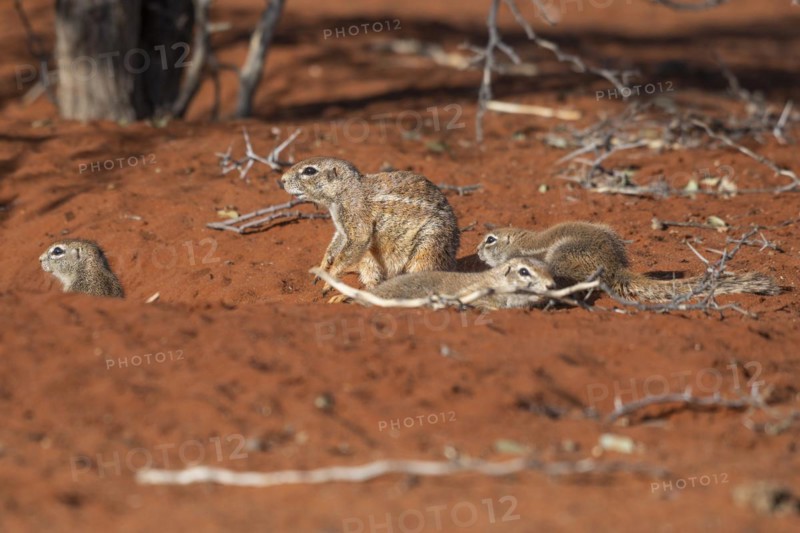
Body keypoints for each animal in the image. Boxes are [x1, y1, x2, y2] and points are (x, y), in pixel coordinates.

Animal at [280, 157, 460, 293]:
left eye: (309, 171)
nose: (281, 180)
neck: (347, 190)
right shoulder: (342, 229)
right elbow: (335, 246)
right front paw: (323, 266)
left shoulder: (357, 218)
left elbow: (353, 246)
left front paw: (330, 279)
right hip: (370, 257)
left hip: (428, 247)